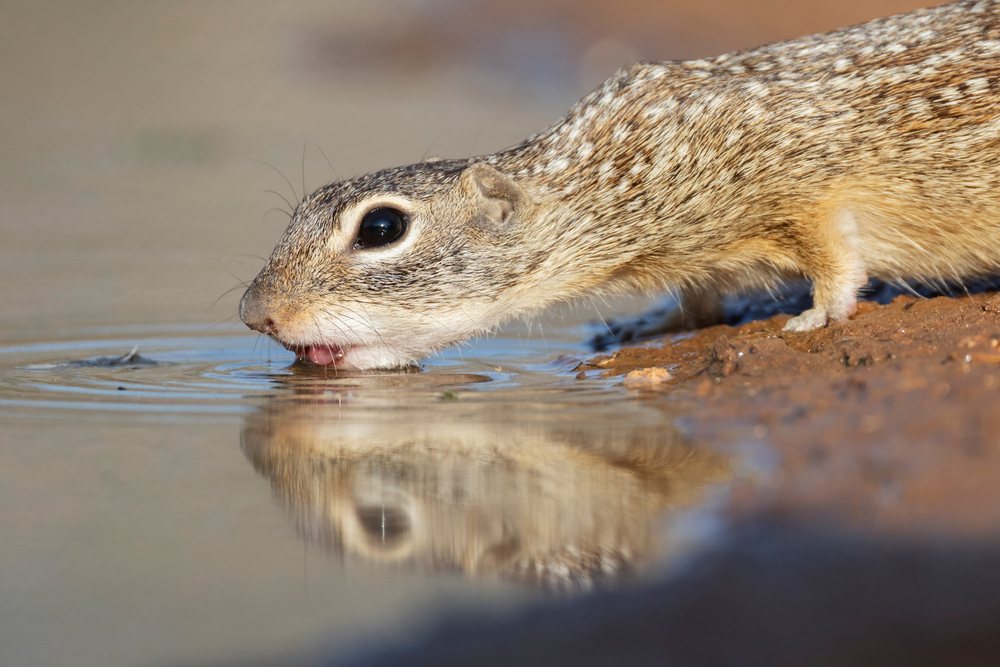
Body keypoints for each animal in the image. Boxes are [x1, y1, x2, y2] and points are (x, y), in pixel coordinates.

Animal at [241, 0, 1000, 370]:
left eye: (381, 228)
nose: (255, 314)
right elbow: (699, 295)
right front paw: (656, 321)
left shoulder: (799, 183)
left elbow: (835, 258)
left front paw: (816, 313)